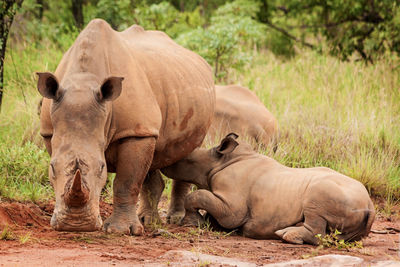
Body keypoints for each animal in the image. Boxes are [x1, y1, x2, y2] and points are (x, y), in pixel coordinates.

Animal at [38, 19, 214, 234]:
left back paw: (175, 220)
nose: (76, 225)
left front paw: (120, 230)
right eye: (51, 167)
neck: (83, 79)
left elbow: (126, 181)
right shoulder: (49, 132)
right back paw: (148, 221)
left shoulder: (135, 131)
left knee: (188, 151)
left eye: (102, 168)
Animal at [160, 134, 376, 245]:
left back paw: (286, 235)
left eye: (187, 160)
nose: (164, 165)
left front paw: (191, 223)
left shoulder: (232, 208)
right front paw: (206, 223)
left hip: (333, 192)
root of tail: (370, 205)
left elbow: (199, 196)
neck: (219, 162)